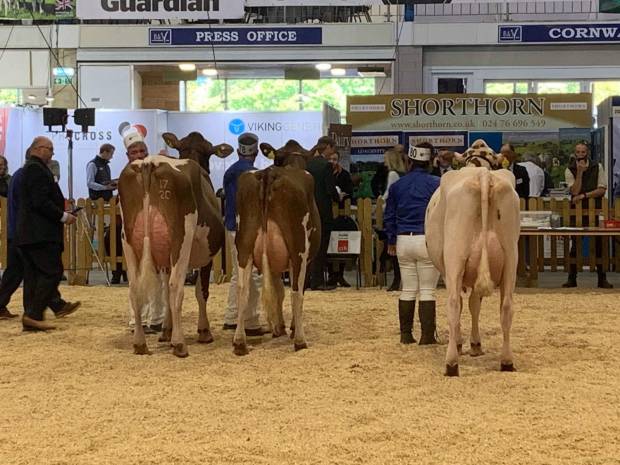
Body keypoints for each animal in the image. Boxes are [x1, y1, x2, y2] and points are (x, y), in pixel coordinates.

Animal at [118, 132, 232, 358]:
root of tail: (149, 163)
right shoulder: (206, 256)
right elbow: (201, 292)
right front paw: (203, 331)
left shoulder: (164, 256)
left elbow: (164, 293)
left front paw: (166, 331)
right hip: (182, 239)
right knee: (176, 286)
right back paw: (180, 344)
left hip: (128, 240)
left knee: (135, 288)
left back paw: (140, 343)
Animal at [231, 141, 320, 356]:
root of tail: (269, 173)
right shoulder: (304, 259)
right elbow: (295, 292)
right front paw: (291, 328)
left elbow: (278, 291)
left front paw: (278, 327)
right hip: (299, 249)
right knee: (296, 292)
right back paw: (300, 341)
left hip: (244, 246)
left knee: (242, 289)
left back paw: (239, 343)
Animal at [424, 139, 520, 376]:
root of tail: (483, 175)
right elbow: (475, 303)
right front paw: (476, 345)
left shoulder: (449, 270)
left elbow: (462, 303)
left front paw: (462, 344)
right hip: (511, 259)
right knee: (506, 306)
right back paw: (507, 361)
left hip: (455, 258)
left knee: (453, 304)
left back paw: (451, 363)